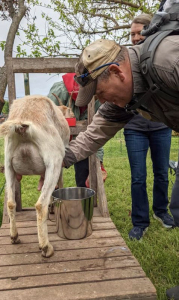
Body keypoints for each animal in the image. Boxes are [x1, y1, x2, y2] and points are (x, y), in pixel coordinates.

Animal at [0, 96, 70, 258]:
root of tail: (22, 126)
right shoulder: (59, 164)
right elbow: (59, 184)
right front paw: (53, 207)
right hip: (54, 160)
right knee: (40, 205)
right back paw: (46, 247)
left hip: (8, 164)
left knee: (11, 203)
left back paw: (14, 236)